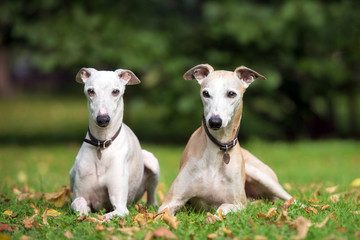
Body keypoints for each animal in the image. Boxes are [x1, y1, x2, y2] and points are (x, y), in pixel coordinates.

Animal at [69, 67, 160, 219]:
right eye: (91, 91)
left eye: (115, 91)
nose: (103, 119)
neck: (102, 144)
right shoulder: (80, 194)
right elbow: (78, 203)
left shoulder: (121, 207)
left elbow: (106, 216)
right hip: (72, 172)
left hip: (151, 162)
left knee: (152, 193)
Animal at [160, 64, 292, 216]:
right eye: (206, 93)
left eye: (231, 94)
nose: (214, 122)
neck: (218, 147)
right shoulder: (170, 201)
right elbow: (164, 214)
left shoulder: (238, 204)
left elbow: (221, 209)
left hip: (261, 176)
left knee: (290, 198)